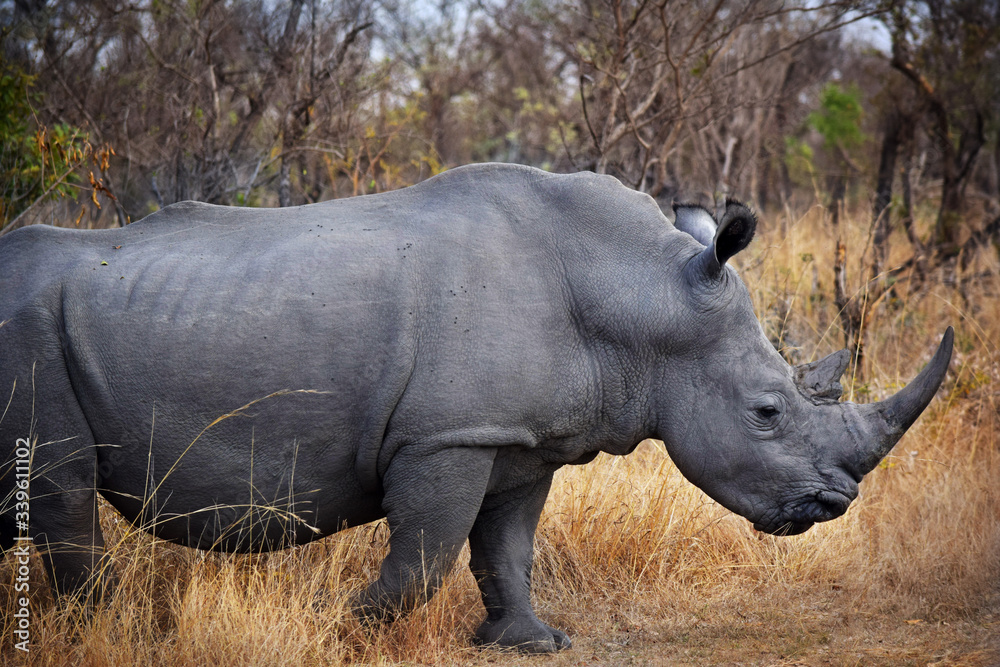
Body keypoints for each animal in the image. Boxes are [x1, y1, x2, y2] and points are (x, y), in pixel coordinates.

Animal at [0, 163, 952, 653]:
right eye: (766, 413)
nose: (834, 504)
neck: (639, 296)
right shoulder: (445, 437)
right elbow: (425, 554)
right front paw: (334, 627)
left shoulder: (521, 439)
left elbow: (507, 546)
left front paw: (528, 641)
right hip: (30, 337)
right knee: (60, 487)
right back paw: (114, 635)